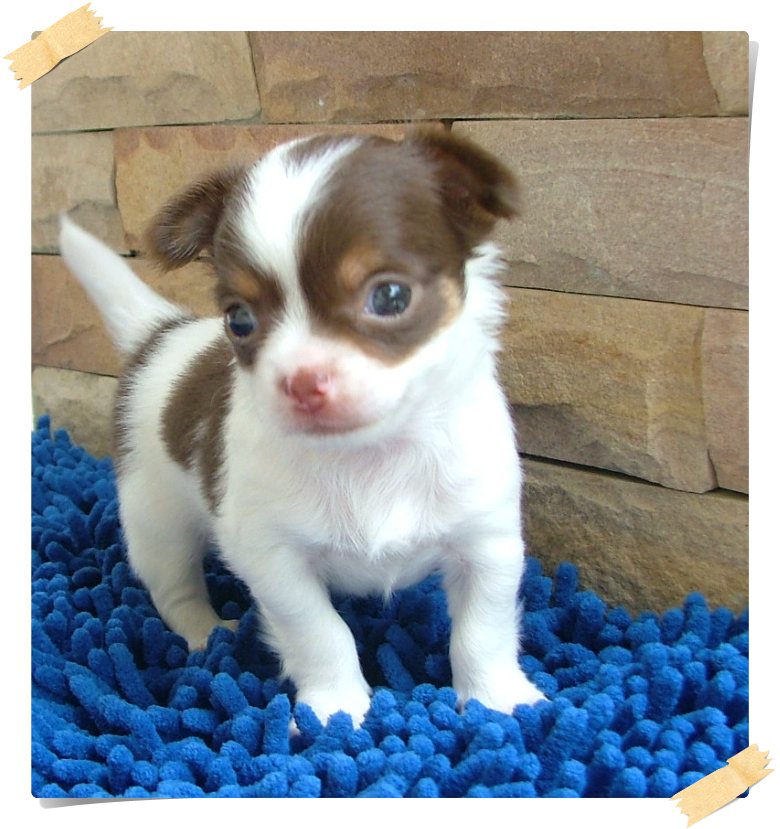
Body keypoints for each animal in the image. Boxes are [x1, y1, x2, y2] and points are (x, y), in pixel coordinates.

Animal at [59, 129, 545, 727]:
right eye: (239, 319)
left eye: (391, 297)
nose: (302, 381)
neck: (369, 456)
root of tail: (160, 332)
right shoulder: (276, 560)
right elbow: (322, 635)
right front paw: (334, 713)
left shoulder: (487, 543)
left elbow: (482, 632)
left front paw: (499, 703)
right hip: (156, 522)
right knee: (174, 590)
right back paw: (206, 634)